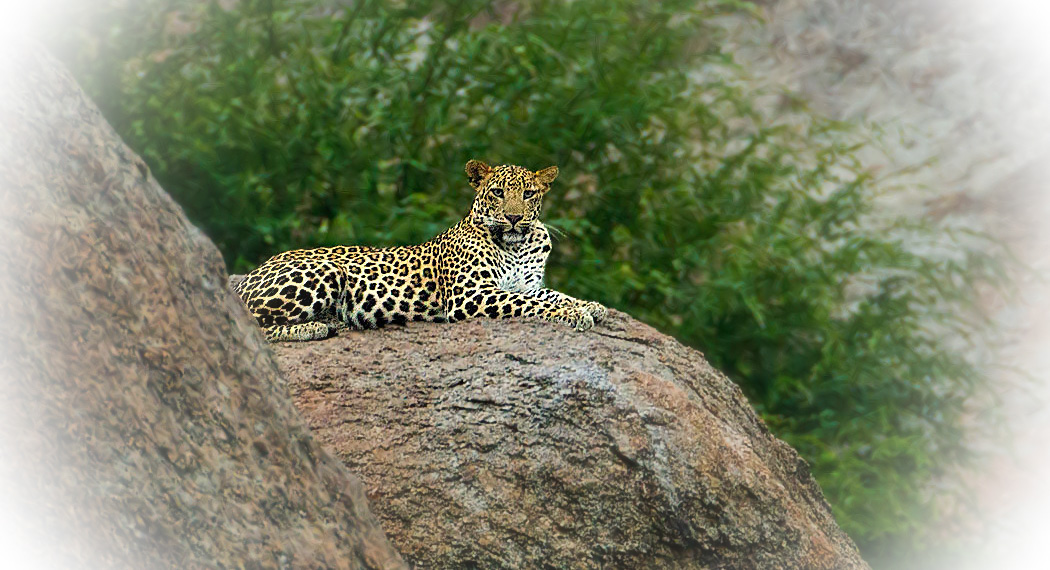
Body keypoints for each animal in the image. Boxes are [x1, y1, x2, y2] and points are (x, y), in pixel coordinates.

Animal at [234, 160, 607, 342]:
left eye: (529, 194)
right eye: (497, 192)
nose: (515, 217)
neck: (516, 245)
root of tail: (250, 274)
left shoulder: (526, 285)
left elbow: (551, 295)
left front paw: (589, 305)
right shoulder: (472, 295)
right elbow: (532, 305)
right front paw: (574, 315)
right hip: (323, 272)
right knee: (248, 326)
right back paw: (311, 329)